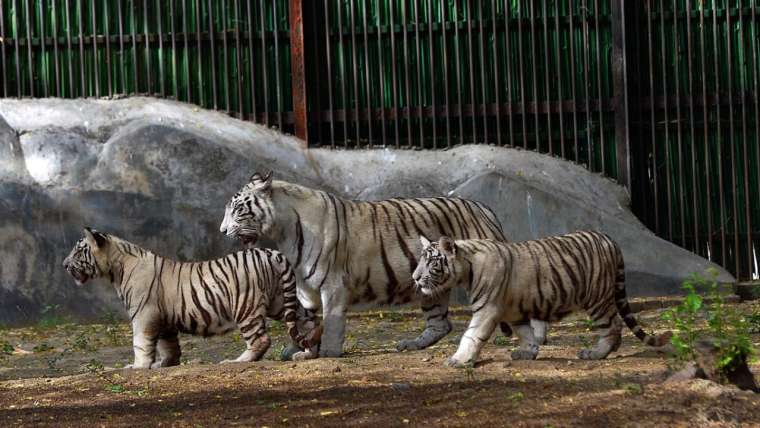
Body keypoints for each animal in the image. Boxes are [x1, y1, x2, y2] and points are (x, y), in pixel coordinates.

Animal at [61, 227, 318, 368]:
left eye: (78, 250)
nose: (64, 264)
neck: (115, 269)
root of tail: (270, 252)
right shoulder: (163, 319)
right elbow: (168, 346)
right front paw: (164, 363)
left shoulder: (143, 314)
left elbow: (141, 343)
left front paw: (137, 366)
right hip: (280, 301)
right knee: (308, 322)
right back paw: (308, 352)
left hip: (245, 306)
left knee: (260, 339)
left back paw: (238, 361)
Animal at [220, 171, 548, 358]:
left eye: (237, 209)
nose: (222, 231)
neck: (283, 231)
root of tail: (485, 209)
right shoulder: (305, 287)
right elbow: (303, 319)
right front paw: (296, 350)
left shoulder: (333, 285)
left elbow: (332, 322)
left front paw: (328, 352)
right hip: (428, 285)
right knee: (440, 324)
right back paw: (411, 345)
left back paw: (540, 337)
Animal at [416, 231, 672, 368]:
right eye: (420, 261)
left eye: (431, 262)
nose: (415, 278)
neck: (465, 270)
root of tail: (609, 239)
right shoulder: (514, 310)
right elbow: (525, 333)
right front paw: (527, 353)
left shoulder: (487, 309)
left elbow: (471, 335)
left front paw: (458, 360)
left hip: (597, 299)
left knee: (613, 325)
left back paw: (597, 353)